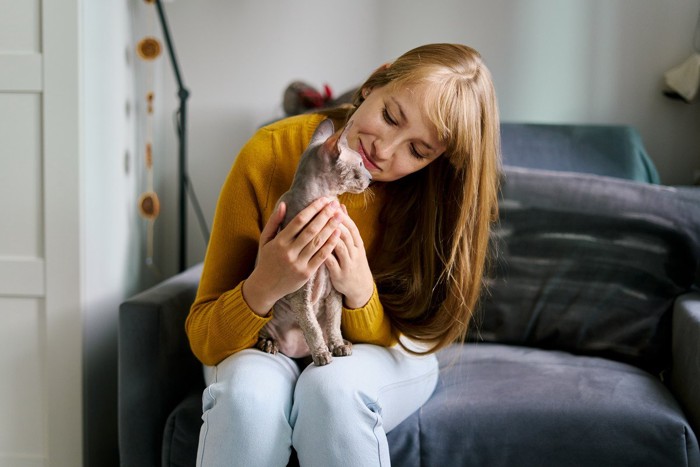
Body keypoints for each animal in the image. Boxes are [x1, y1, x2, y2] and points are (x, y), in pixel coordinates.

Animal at [258, 119, 374, 368]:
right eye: (360, 164)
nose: (371, 178)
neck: (324, 198)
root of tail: (297, 354)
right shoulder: (300, 292)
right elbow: (311, 327)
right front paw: (322, 355)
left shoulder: (333, 289)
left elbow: (333, 321)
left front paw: (338, 346)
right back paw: (270, 344)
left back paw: (343, 343)